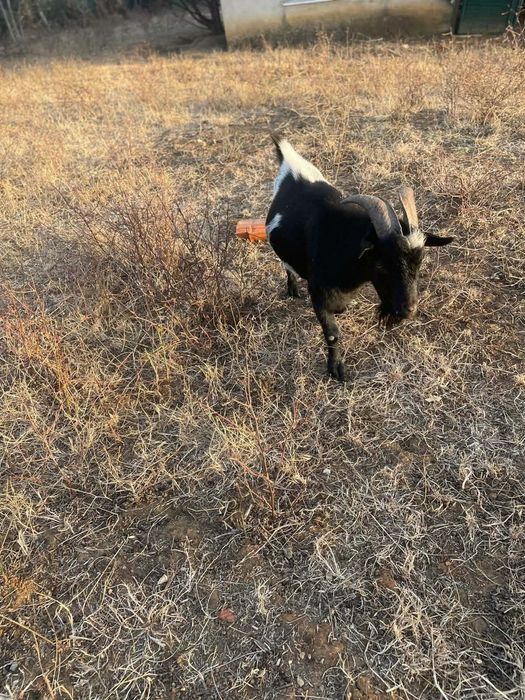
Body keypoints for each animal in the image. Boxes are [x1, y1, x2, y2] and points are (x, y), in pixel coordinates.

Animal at [265, 134, 453, 381]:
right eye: (381, 266)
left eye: (419, 263)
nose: (408, 310)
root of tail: (289, 161)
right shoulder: (318, 293)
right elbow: (332, 332)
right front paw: (336, 369)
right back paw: (292, 288)